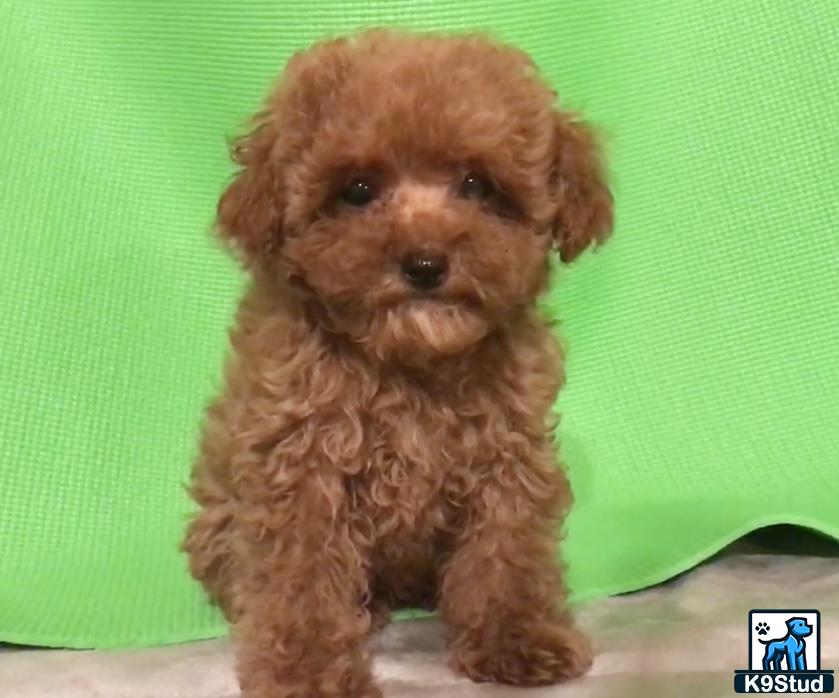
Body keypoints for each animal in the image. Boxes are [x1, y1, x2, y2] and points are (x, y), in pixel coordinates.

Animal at [185, 27, 612, 696]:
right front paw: (309, 670)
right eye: (358, 191)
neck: (411, 360)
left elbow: (507, 549)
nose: (425, 262)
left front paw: (515, 638)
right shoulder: (299, 464)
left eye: (476, 185)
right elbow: (303, 574)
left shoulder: (509, 452)